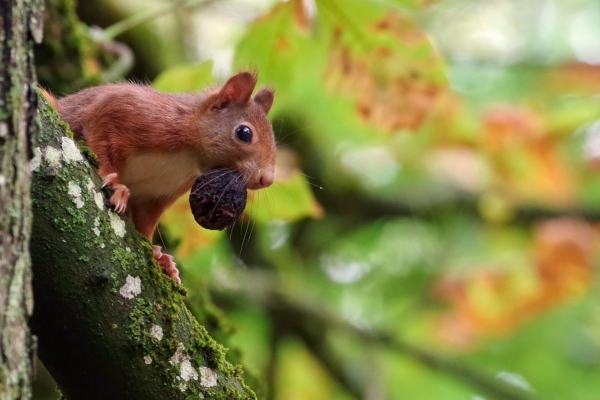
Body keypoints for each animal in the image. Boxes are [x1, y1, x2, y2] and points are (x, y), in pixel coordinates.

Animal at [42, 72, 276, 284]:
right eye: (244, 133)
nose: (267, 179)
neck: (188, 158)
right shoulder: (128, 111)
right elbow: (101, 140)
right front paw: (116, 185)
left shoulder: (157, 194)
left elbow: (146, 222)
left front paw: (159, 258)